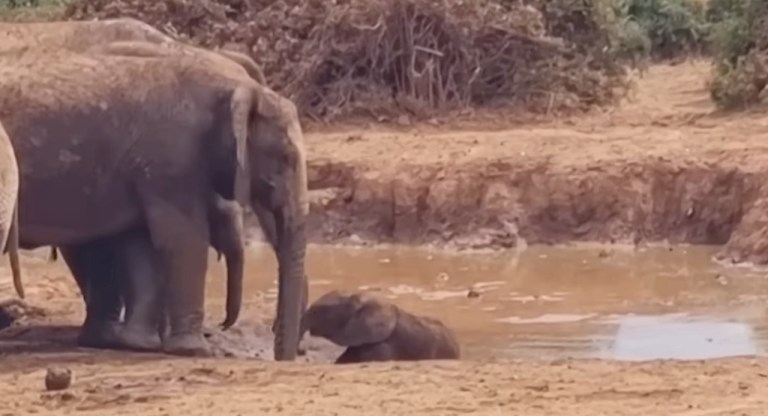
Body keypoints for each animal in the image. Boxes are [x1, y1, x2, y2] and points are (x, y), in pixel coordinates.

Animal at [0, 44, 306, 358]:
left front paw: (137, 345)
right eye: (285, 159)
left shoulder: (141, 169)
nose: (284, 358)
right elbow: (182, 238)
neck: (237, 85)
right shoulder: (171, 158)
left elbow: (141, 242)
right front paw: (195, 351)